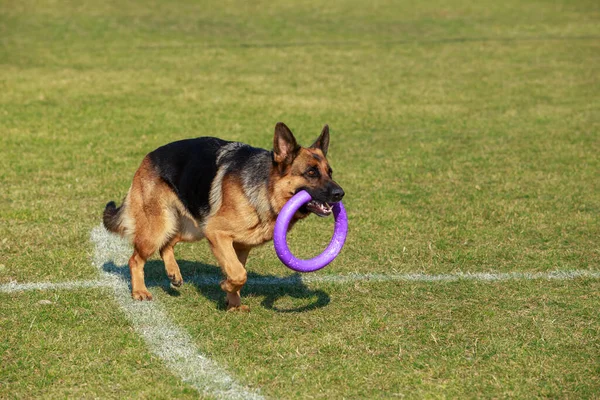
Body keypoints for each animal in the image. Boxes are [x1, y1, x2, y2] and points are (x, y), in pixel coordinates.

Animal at [102, 123, 344, 310]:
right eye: (311, 173)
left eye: (330, 172)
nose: (340, 194)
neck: (266, 188)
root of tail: (147, 157)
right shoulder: (217, 233)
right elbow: (239, 273)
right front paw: (226, 286)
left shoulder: (240, 245)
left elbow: (238, 271)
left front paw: (233, 304)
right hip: (160, 228)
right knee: (135, 259)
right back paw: (140, 291)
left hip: (192, 228)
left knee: (167, 244)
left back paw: (173, 273)